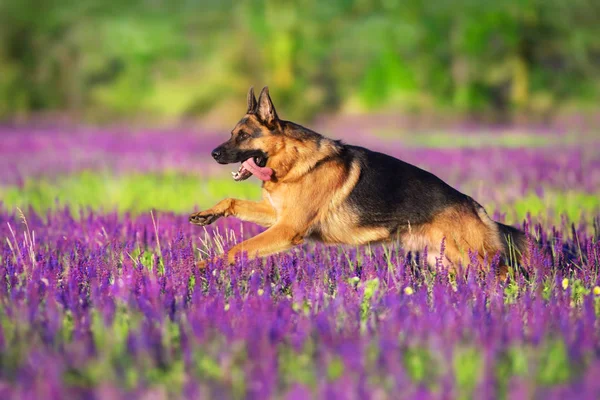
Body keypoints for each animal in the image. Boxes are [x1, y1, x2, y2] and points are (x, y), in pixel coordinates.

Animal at [190, 86, 528, 278]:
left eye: (243, 136)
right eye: (232, 134)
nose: (213, 153)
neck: (293, 162)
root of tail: (476, 206)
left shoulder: (287, 229)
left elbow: (237, 248)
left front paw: (204, 266)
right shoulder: (278, 216)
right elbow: (232, 201)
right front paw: (207, 215)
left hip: (474, 259)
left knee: (508, 275)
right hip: (446, 261)